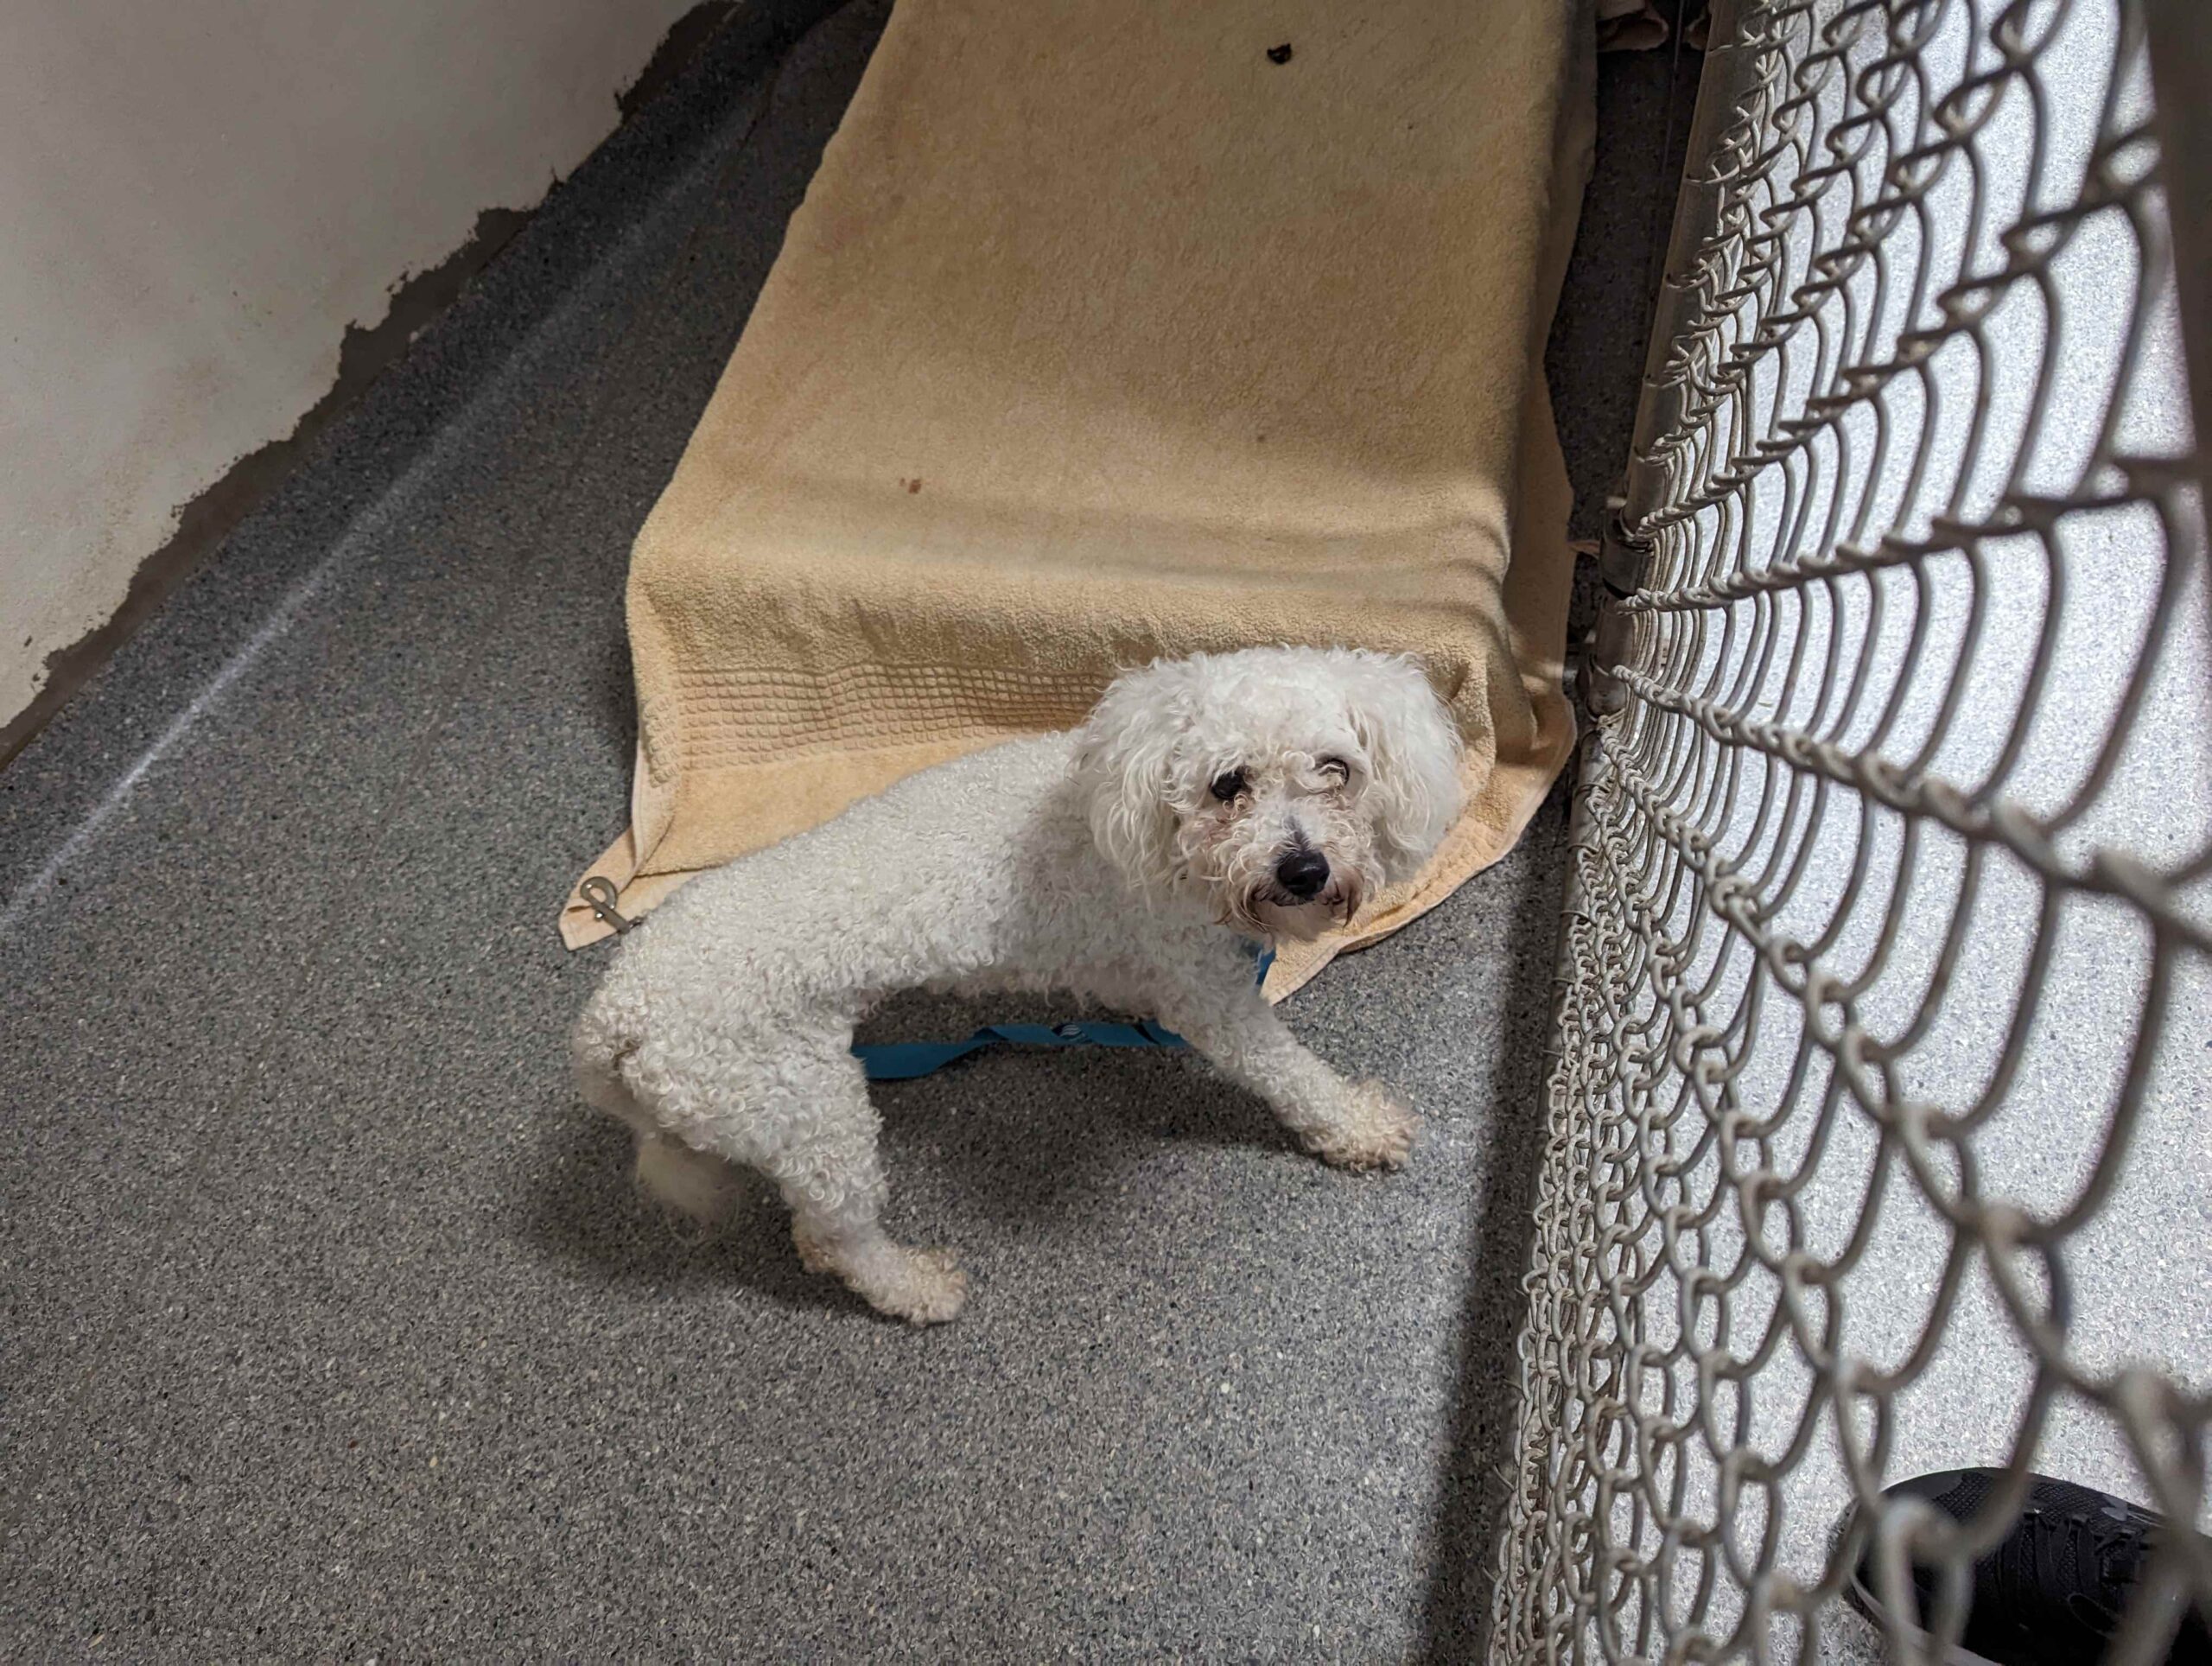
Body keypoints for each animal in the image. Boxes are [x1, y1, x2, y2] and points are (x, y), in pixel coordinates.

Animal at [571, 645, 1466, 1323]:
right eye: (1227, 783)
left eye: (1337, 769)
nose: (1304, 870)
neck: (1147, 826)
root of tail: (614, 1018)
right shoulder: (1208, 997)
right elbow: (1291, 1076)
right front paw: (1357, 1125)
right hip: (813, 1115)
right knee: (842, 1237)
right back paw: (917, 1287)